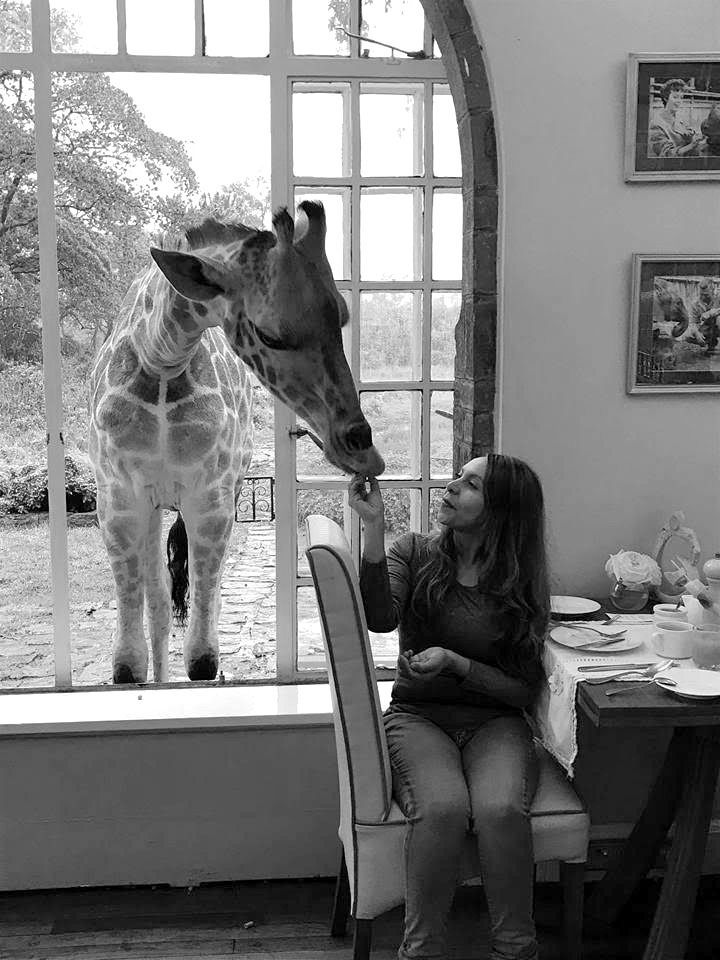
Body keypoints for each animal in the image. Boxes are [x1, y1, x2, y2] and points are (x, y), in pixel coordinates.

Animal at [89, 201, 385, 684]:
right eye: (270, 335)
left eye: (342, 316)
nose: (363, 450)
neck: (161, 362)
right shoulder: (118, 500)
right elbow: (128, 664)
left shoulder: (213, 498)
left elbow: (203, 659)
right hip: (153, 507)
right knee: (159, 607)